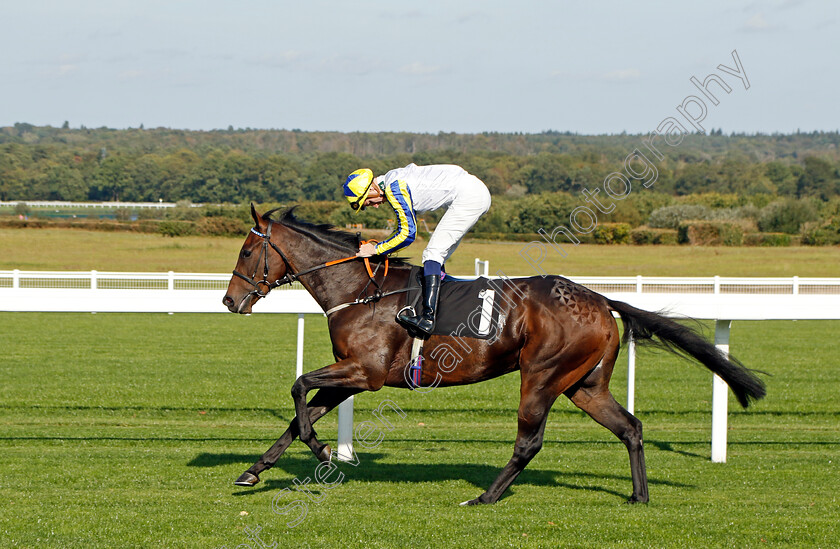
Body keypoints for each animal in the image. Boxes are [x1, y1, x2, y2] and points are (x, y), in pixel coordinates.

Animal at [223, 206, 768, 506]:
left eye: (247, 252)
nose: (230, 301)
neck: (358, 290)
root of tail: (598, 298)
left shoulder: (366, 372)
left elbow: (298, 387)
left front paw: (321, 451)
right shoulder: (351, 375)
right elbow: (299, 413)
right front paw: (254, 470)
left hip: (542, 375)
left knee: (529, 442)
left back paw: (484, 495)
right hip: (585, 384)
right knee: (630, 427)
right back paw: (639, 495)